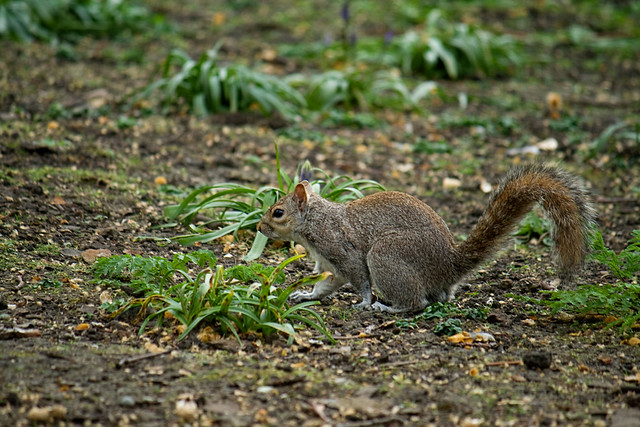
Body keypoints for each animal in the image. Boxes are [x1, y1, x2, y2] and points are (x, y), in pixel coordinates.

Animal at [257, 164, 597, 313]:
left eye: (278, 212)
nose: (259, 228)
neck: (315, 221)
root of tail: (450, 264)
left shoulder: (343, 250)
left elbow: (361, 280)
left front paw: (365, 302)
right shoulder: (332, 266)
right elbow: (326, 285)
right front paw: (305, 295)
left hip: (387, 255)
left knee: (417, 302)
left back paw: (390, 308)